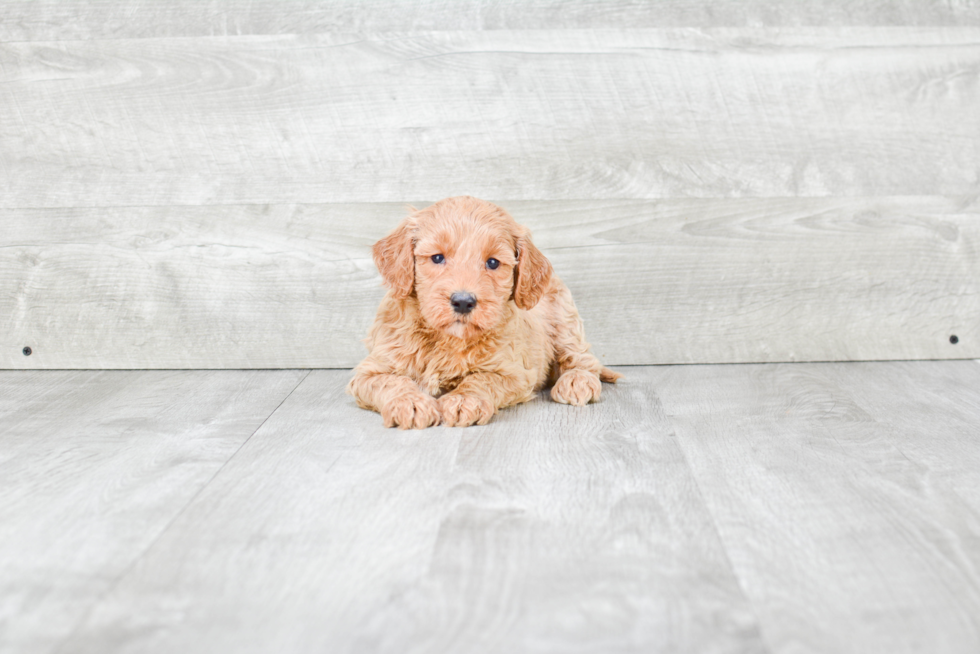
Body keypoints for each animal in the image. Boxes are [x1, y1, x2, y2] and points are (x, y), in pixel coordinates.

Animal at [348, 195, 624, 430]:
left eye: (492, 263)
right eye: (437, 258)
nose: (463, 302)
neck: (447, 339)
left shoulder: (513, 372)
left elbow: (481, 379)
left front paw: (463, 400)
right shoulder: (371, 369)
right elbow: (392, 381)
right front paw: (410, 402)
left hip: (565, 319)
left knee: (582, 358)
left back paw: (576, 381)